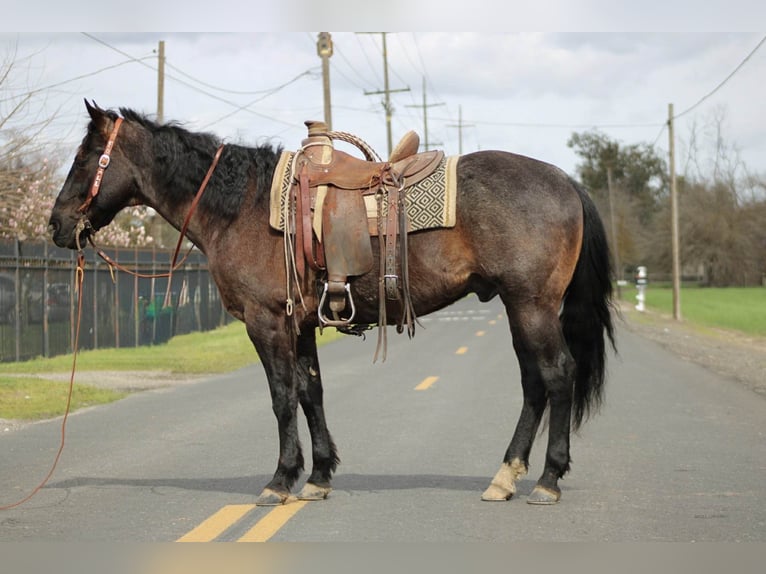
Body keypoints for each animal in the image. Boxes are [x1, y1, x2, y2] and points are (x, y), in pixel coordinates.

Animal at [49, 100, 615, 506]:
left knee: (557, 375)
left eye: (82, 159)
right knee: (534, 384)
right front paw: (318, 475)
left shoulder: (266, 324)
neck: (241, 207)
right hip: (519, 308)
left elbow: (281, 397)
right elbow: (311, 392)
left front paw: (280, 479)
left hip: (532, 306)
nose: (56, 225)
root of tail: (565, 180)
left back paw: (547, 480)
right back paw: (505, 476)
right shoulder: (298, 325)